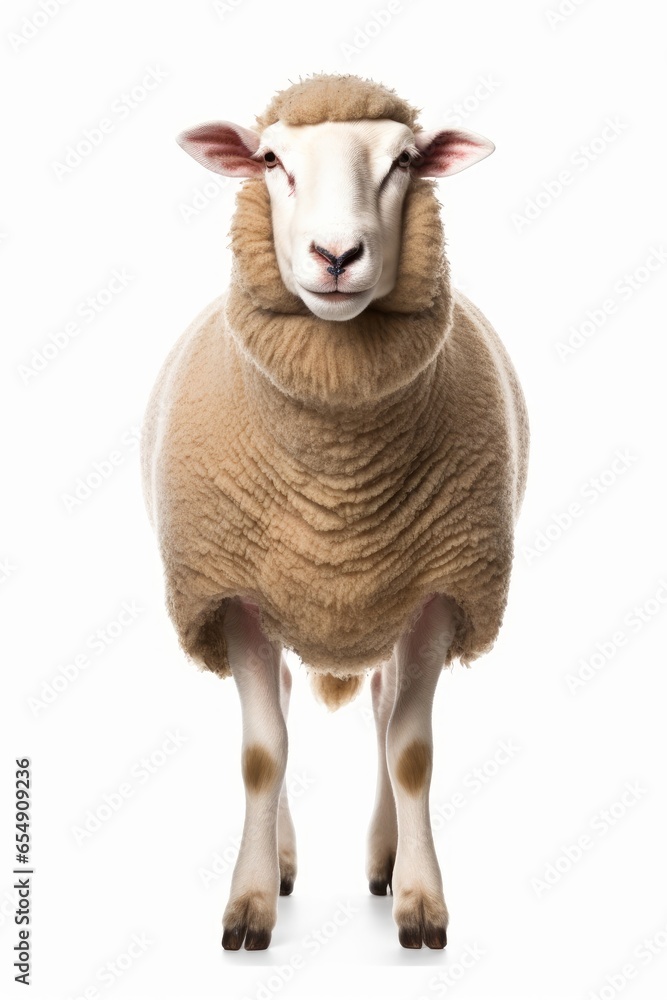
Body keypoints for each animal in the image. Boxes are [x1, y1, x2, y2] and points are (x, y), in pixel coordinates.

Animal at [141, 73, 529, 951]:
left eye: (405, 161)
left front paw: (421, 903)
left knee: (383, 710)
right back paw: (283, 863)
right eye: (270, 160)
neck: (337, 487)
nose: (336, 256)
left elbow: (409, 751)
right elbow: (262, 752)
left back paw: (384, 863)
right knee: (286, 701)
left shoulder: (439, 589)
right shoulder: (233, 592)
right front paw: (249, 904)